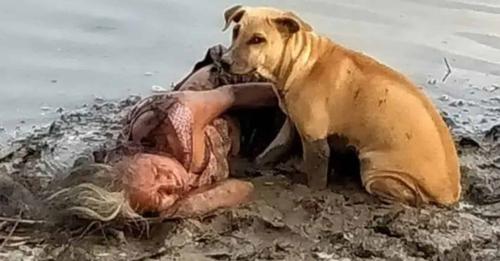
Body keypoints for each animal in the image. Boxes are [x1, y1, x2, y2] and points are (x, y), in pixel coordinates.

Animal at [220, 4, 460, 205]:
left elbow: (316, 176)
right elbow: (272, 150)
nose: (224, 62)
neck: (302, 63)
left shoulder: (315, 139)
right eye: (236, 31)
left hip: (376, 171)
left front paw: (312, 191)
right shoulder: (291, 124)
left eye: (258, 39)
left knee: (410, 196)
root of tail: (451, 193)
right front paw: (255, 164)